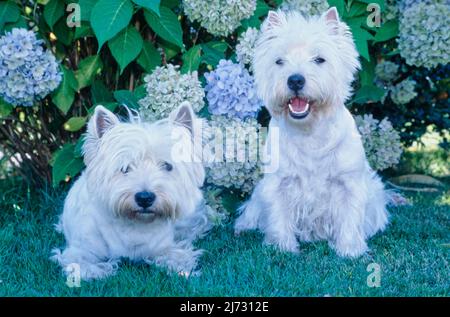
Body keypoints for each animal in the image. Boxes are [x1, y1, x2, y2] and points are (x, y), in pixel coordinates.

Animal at [50, 102, 209, 278]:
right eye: (125, 168)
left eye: (167, 166)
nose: (145, 198)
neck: (135, 226)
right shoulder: (81, 249)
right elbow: (84, 266)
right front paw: (105, 269)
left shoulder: (164, 246)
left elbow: (177, 256)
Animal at [234, 8, 388, 256]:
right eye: (279, 61)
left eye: (319, 59)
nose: (295, 80)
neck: (310, 133)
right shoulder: (278, 182)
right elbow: (278, 215)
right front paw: (283, 246)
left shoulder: (349, 183)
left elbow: (350, 216)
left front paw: (349, 249)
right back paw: (242, 228)